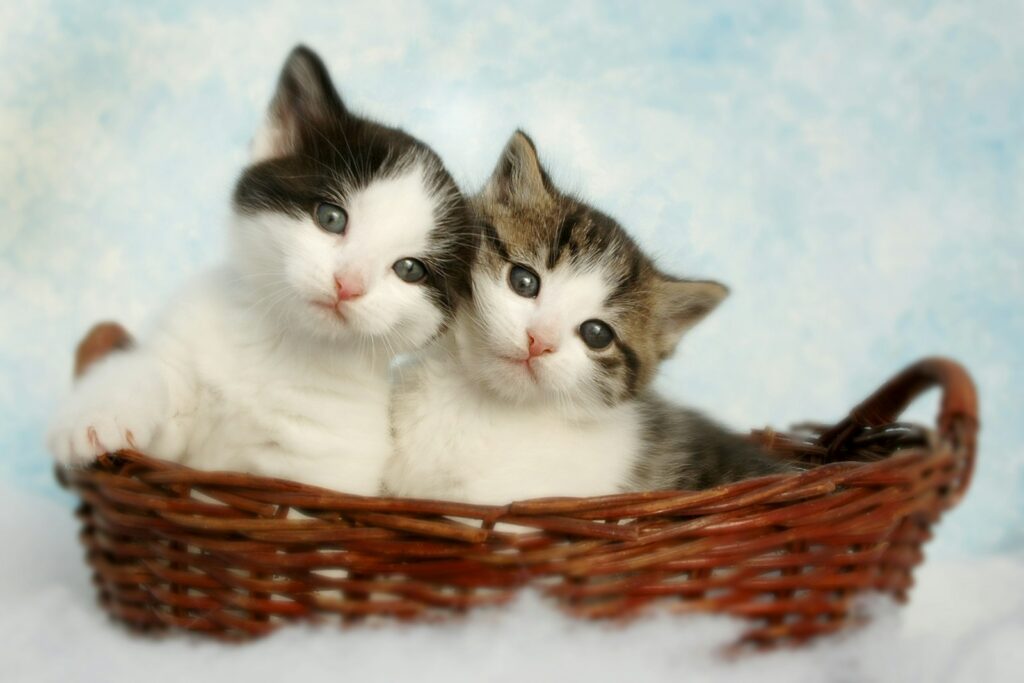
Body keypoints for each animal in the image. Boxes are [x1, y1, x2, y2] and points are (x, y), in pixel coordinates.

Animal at [49, 46, 473, 497]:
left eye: (409, 269)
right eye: (331, 218)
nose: (348, 285)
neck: (282, 346)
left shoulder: (321, 468)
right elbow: (149, 371)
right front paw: (96, 416)